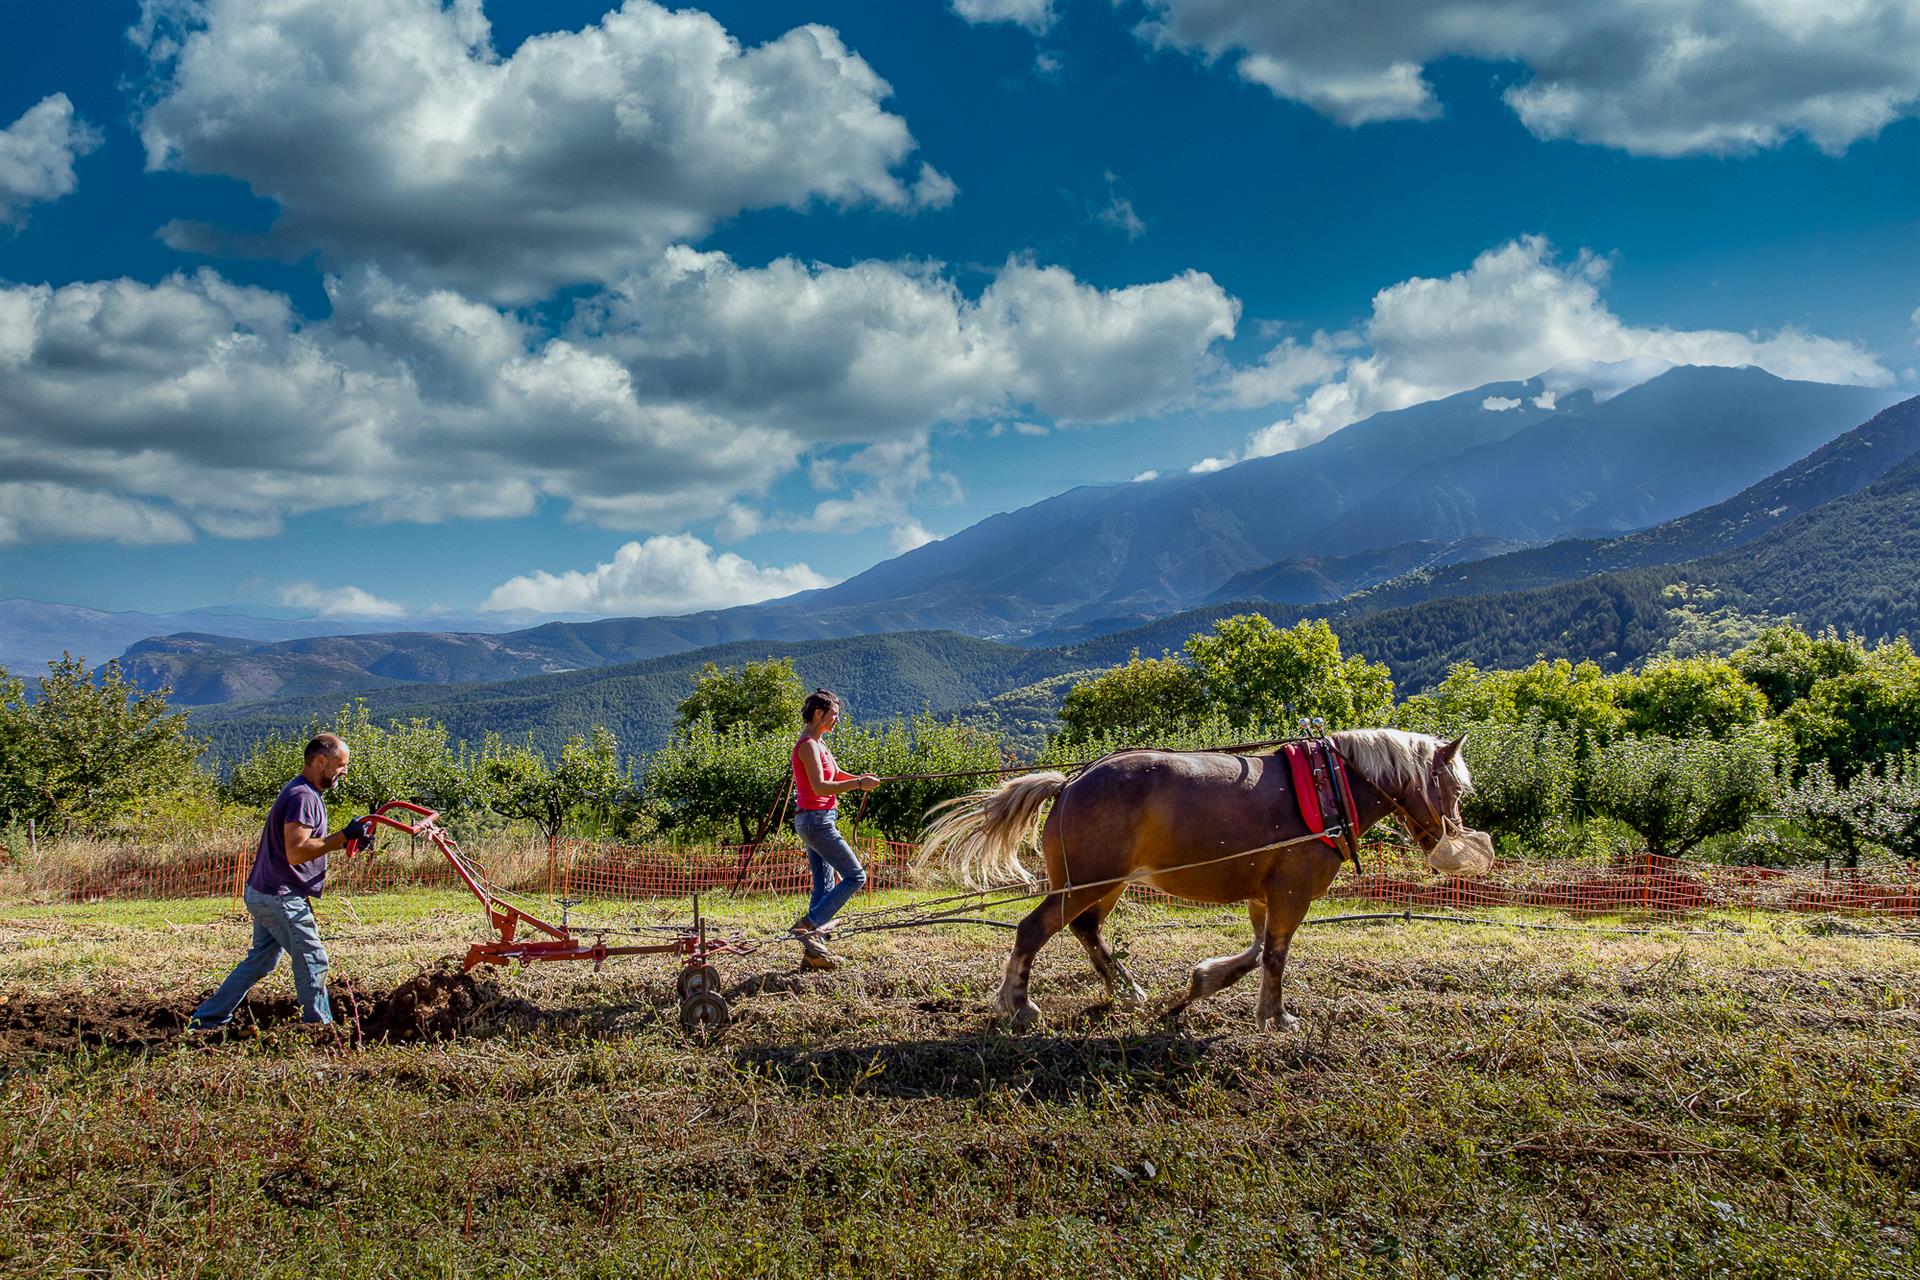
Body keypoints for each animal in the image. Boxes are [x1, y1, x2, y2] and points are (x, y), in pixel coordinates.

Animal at [921, 729, 1489, 1028]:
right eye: (1454, 788)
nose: (1448, 840)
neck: (1327, 787)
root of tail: (1070, 783)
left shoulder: (1265, 893)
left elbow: (1258, 952)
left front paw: (1205, 982)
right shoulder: (1292, 892)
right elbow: (1275, 956)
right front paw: (1276, 1016)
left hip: (1108, 883)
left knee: (1086, 929)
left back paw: (1126, 989)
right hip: (1088, 882)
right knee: (1034, 930)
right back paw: (1019, 1004)